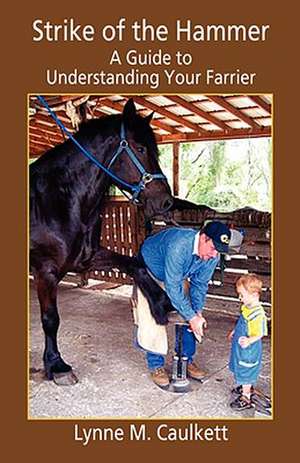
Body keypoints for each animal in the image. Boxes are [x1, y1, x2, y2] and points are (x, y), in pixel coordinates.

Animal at [29, 99, 173, 386]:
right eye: (140, 148)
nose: (165, 202)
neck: (56, 201)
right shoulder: (45, 271)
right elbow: (50, 319)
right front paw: (57, 365)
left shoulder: (87, 257)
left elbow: (135, 264)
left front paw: (160, 303)